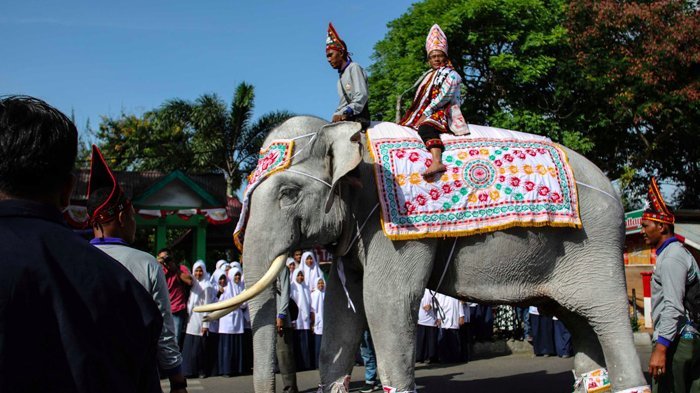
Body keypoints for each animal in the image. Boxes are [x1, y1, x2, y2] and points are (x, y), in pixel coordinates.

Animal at [194, 116, 648, 392]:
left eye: (289, 193)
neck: (350, 137)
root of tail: (612, 188)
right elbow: (342, 314)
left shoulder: (393, 226)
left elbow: (385, 305)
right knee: (576, 318)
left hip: (595, 243)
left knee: (605, 313)